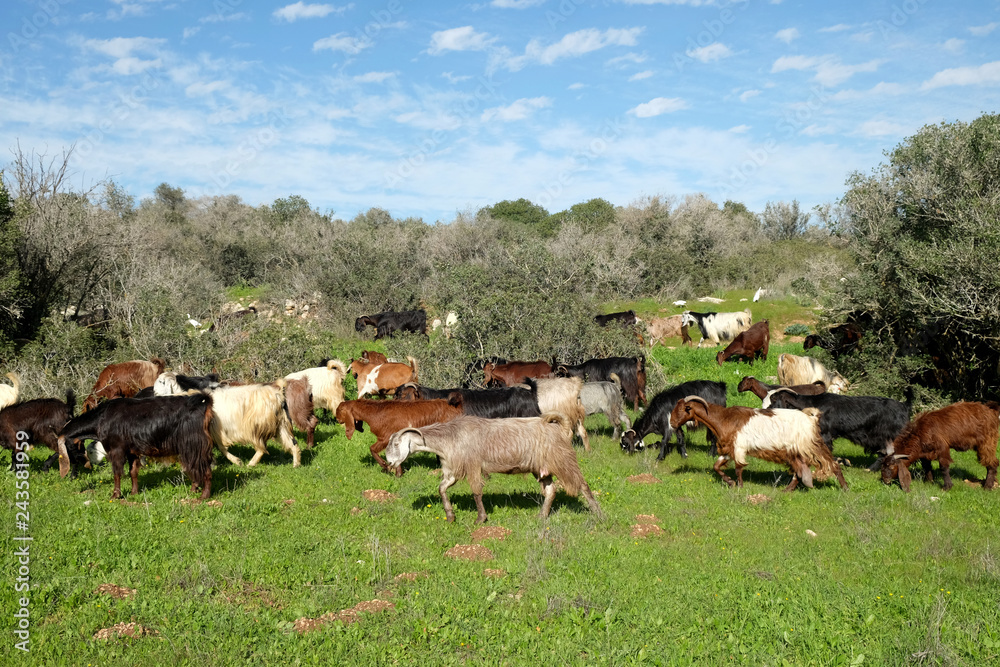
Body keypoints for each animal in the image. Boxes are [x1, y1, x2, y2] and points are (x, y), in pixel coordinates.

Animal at [57, 393, 215, 499]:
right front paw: (134, 493)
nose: (86, 465)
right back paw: (194, 490)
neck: (100, 419)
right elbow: (133, 472)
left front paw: (115, 495)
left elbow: (117, 473)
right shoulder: (131, 451)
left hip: (194, 444)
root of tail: (203, 404)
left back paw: (203, 496)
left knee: (204, 469)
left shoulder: (116, 450)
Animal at [335, 396, 464, 474]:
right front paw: (398, 473)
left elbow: (372, 449)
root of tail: (456, 406)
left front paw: (386, 466)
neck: (375, 412)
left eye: (340, 410)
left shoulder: (386, 437)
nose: (336, 419)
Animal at [385, 414, 603, 523]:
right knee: (551, 490)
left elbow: (476, 492)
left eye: (396, 444)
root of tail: (561, 428)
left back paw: (599, 514)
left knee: (582, 485)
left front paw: (480, 519)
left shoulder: (473, 466)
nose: (389, 463)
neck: (450, 437)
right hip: (541, 468)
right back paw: (541, 516)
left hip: (563, 461)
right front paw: (450, 516)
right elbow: (442, 489)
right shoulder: (453, 471)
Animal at [670, 397, 848, 491]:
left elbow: (739, 468)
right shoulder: (728, 448)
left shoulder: (739, 446)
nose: (671, 423)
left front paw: (740, 486)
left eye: (682, 410)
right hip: (794, 452)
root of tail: (811, 419)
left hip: (810, 445)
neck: (723, 418)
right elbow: (716, 466)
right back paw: (786, 491)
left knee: (832, 463)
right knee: (799, 472)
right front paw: (730, 482)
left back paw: (845, 488)